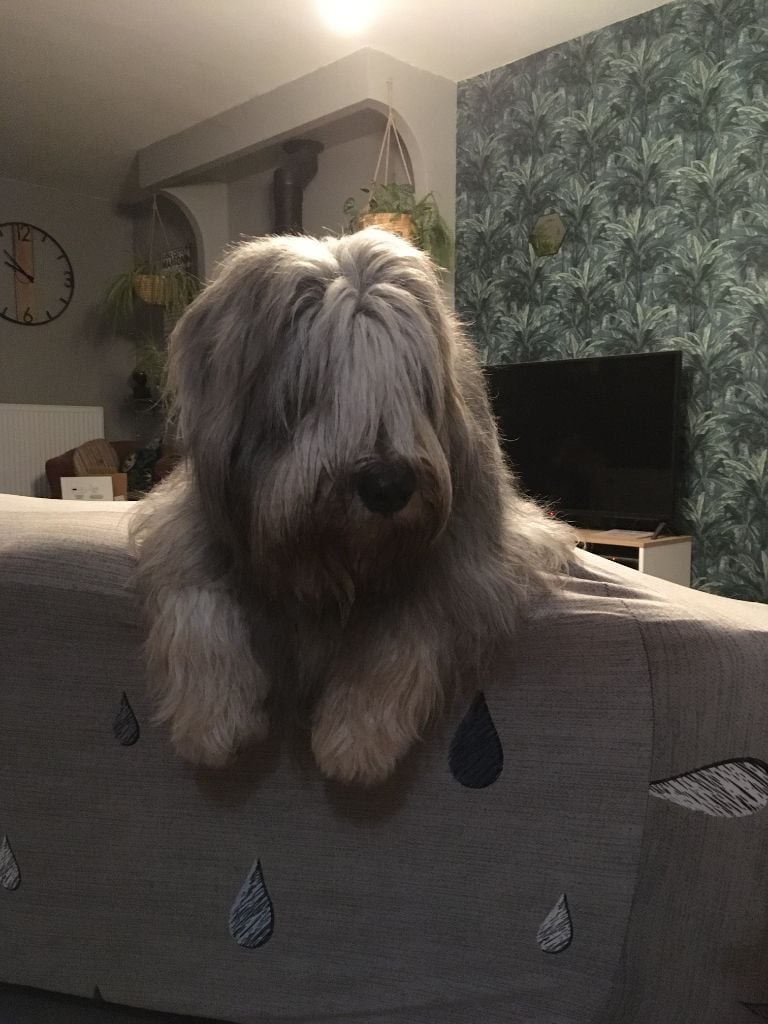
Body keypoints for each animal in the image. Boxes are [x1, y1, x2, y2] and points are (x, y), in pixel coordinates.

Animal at [132, 228, 573, 782]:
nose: (388, 486)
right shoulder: (191, 525)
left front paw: (356, 735)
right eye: (316, 384)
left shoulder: (479, 560)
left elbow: (410, 617)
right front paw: (212, 716)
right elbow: (196, 592)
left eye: (412, 384)